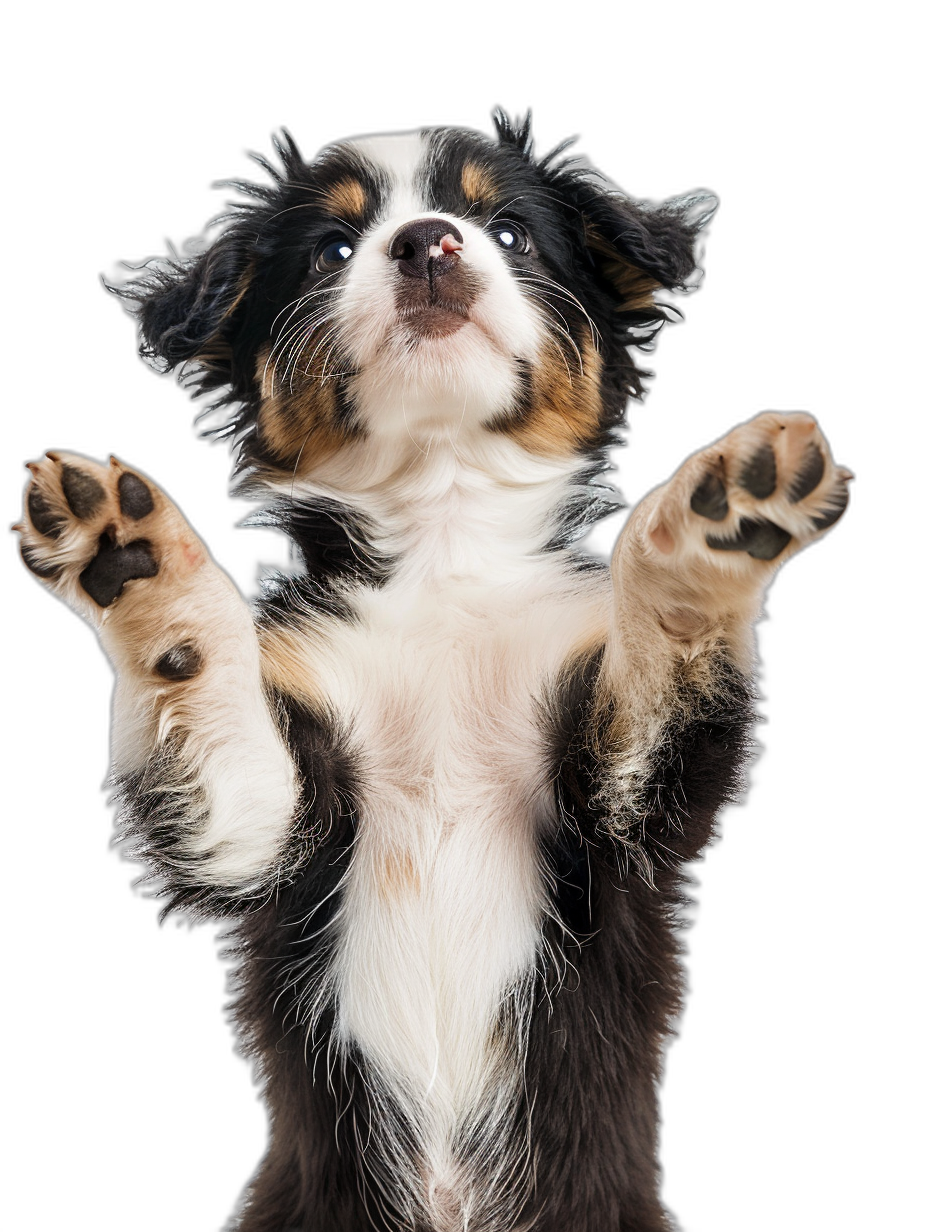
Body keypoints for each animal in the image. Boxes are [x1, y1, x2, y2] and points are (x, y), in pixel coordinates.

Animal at [18, 110, 852, 1227]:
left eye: (508, 232)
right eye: (333, 249)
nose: (426, 244)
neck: (443, 536)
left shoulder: (623, 799)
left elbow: (657, 635)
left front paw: (713, 526)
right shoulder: (262, 826)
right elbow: (214, 693)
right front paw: (141, 564)